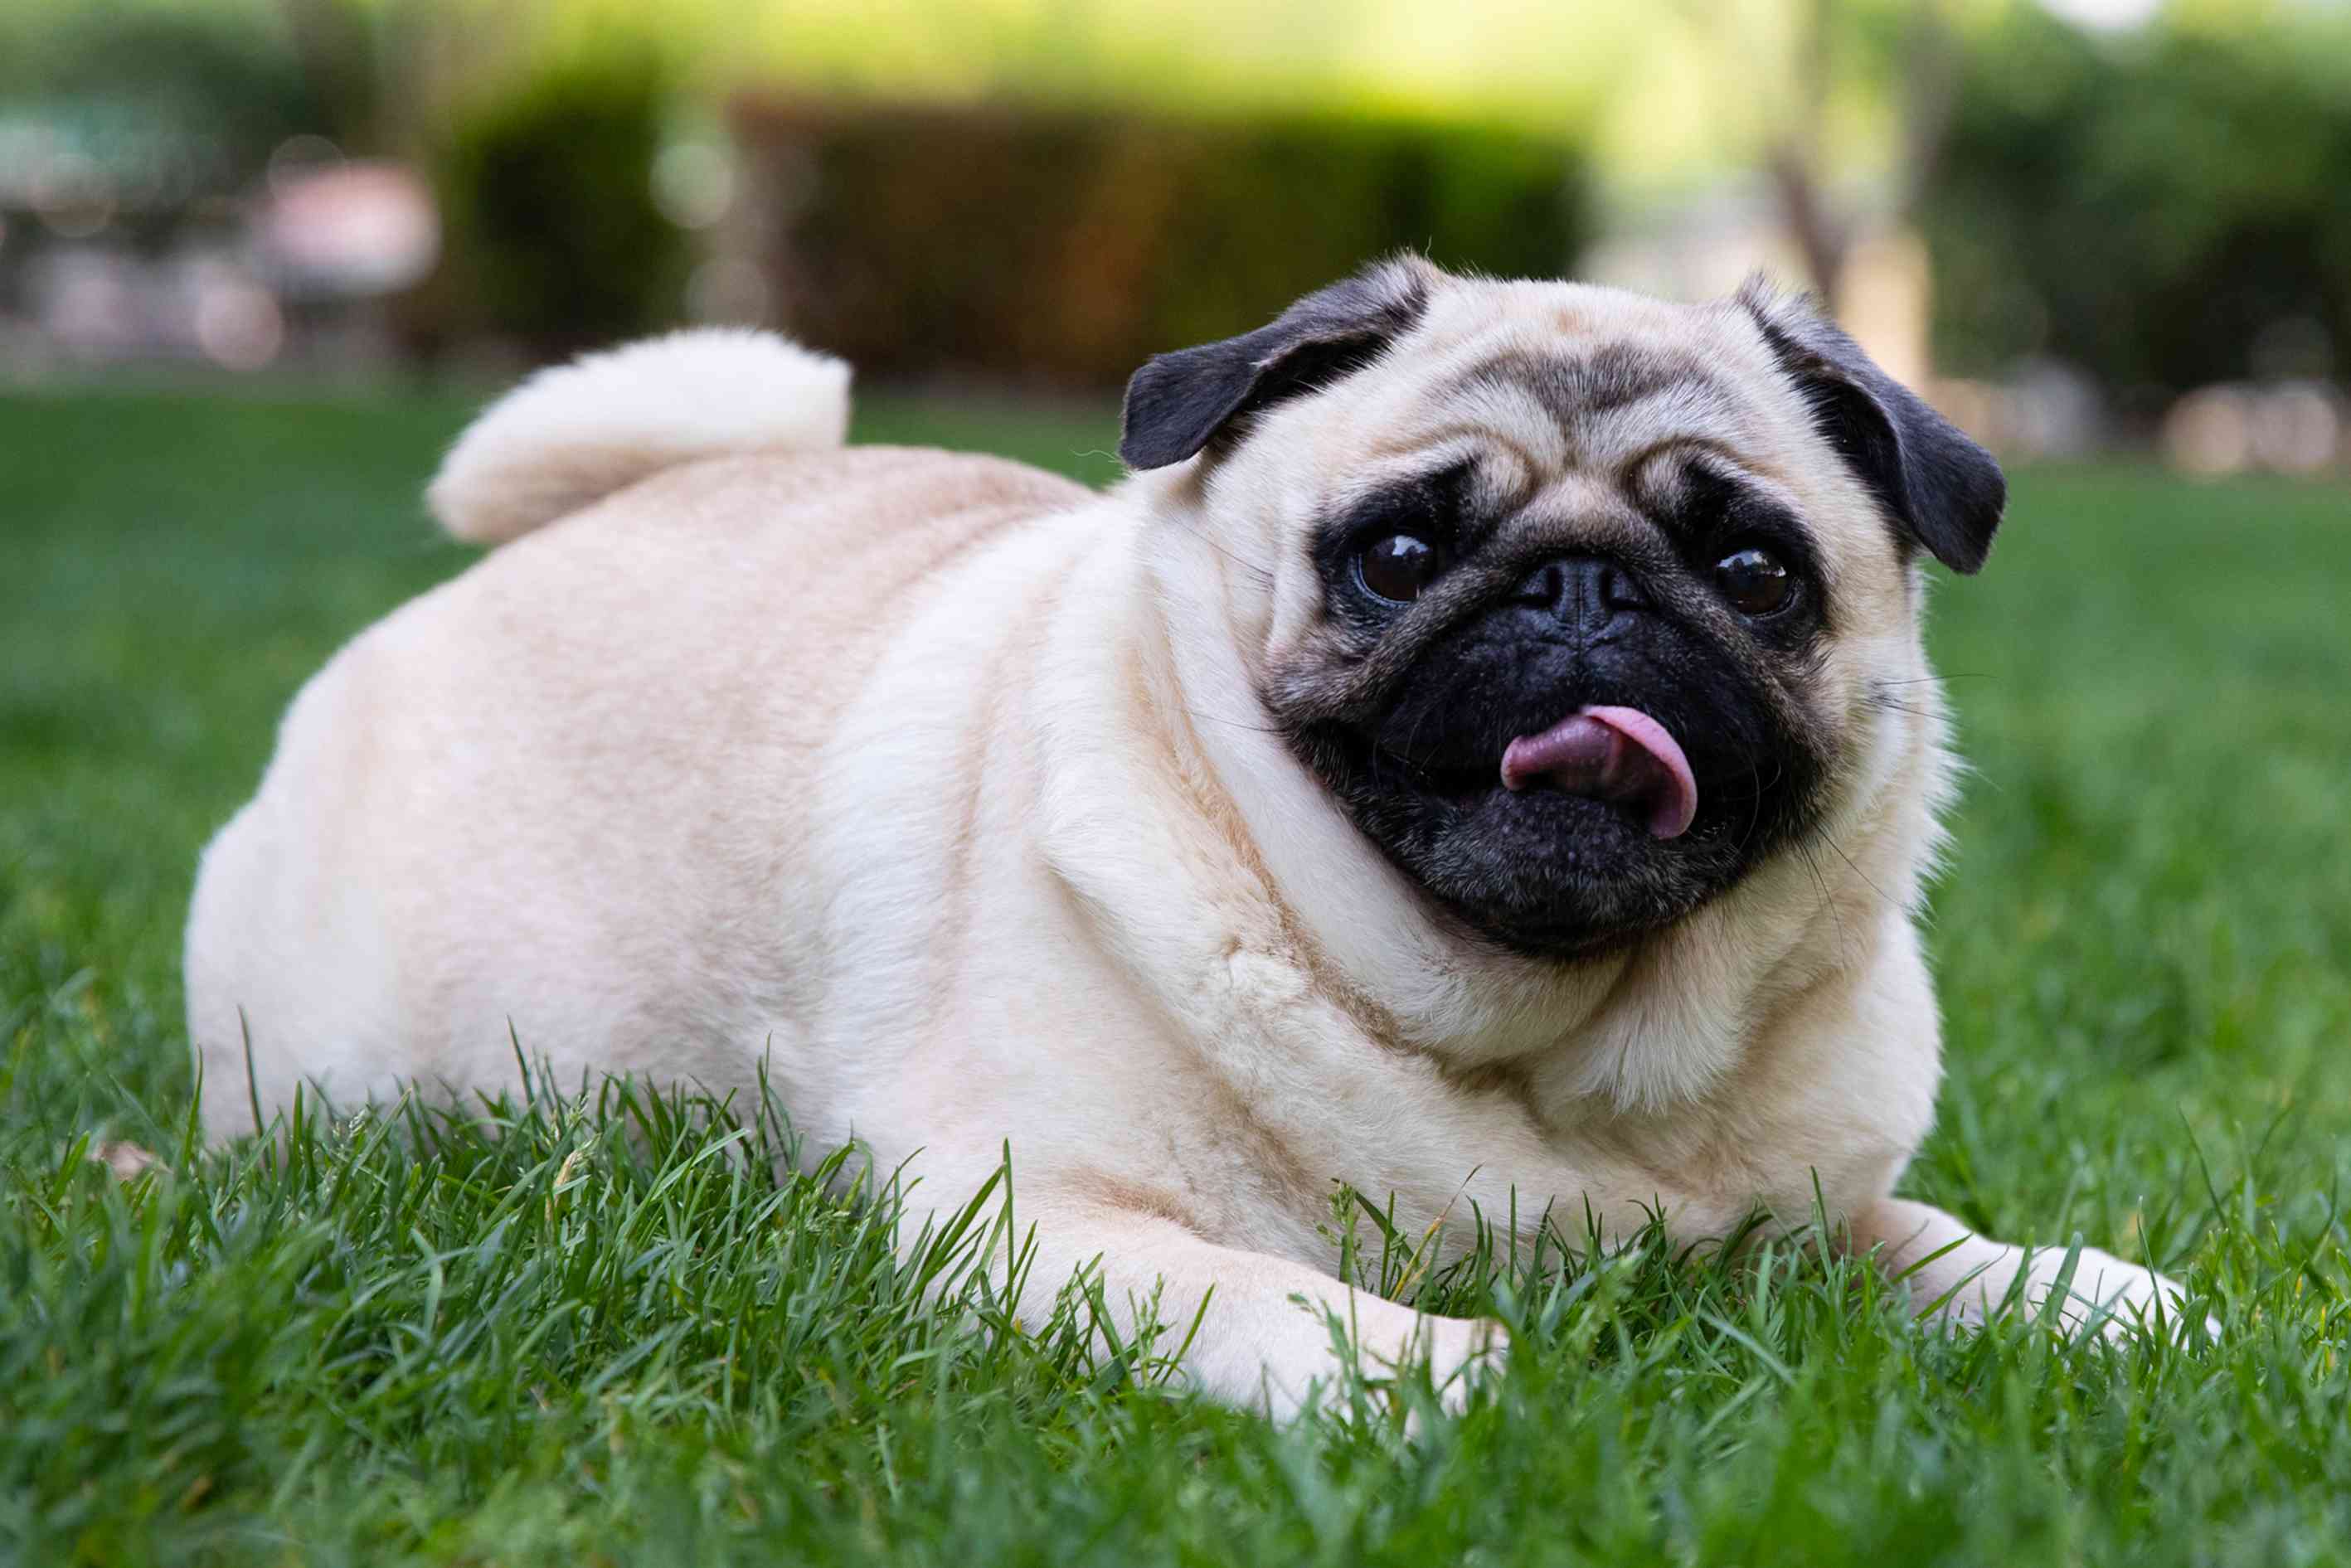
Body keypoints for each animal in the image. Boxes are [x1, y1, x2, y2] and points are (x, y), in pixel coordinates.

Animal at [192, 255, 2191, 1410]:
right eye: (1398, 550)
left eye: (1753, 569)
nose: (1581, 593)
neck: (1546, 1053)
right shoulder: (1032, 1217)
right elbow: (1277, 1306)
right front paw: (1441, 1368)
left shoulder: (1795, 1219)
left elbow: (1912, 1242)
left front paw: (2079, 1293)